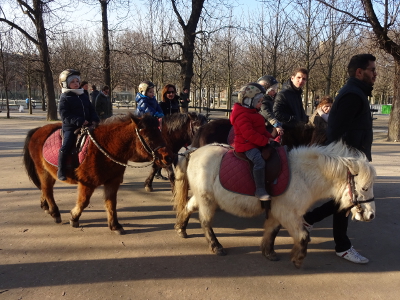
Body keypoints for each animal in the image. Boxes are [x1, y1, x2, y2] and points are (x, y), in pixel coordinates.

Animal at [23, 113, 173, 234]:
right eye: (147, 135)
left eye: (160, 132)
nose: (168, 157)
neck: (106, 148)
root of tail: (38, 130)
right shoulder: (87, 183)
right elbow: (83, 202)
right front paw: (74, 217)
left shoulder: (112, 181)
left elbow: (111, 203)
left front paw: (115, 225)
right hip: (43, 171)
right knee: (47, 190)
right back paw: (55, 213)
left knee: (44, 188)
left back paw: (46, 206)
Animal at [173, 142, 376, 268]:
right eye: (364, 188)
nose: (371, 215)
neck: (303, 176)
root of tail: (193, 152)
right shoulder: (288, 213)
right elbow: (303, 236)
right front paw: (297, 259)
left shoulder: (278, 212)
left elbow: (272, 231)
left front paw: (268, 252)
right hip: (207, 199)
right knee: (205, 222)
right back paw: (216, 246)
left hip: (202, 196)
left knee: (188, 207)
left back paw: (181, 229)